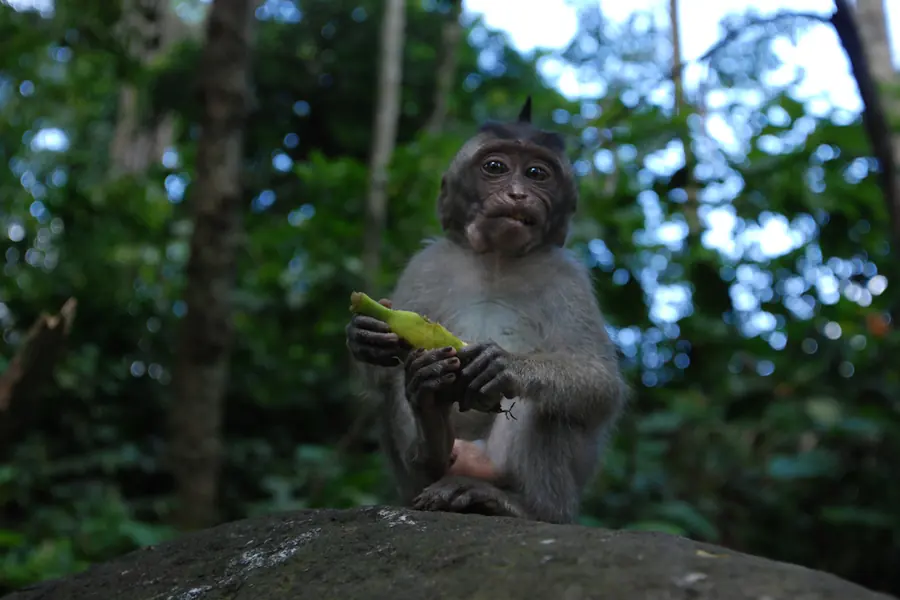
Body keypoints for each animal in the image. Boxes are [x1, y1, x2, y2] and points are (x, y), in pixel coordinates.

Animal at [346, 97, 627, 524]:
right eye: (495, 168)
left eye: (537, 173)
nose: (517, 194)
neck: (498, 259)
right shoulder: (427, 264)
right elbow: (380, 373)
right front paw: (366, 335)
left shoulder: (569, 279)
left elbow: (600, 382)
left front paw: (507, 364)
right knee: (396, 387)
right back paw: (431, 432)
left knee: (550, 405)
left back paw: (521, 506)